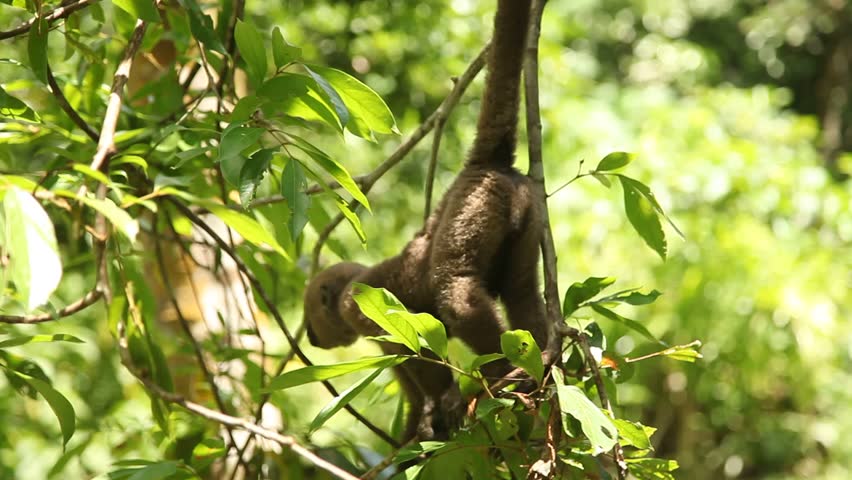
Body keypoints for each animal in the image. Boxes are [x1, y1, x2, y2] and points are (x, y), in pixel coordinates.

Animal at [304, 0, 548, 441]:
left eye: (311, 313)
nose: (312, 336)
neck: (351, 283)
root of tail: (485, 166)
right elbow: (410, 383)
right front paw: (420, 424)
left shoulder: (357, 307)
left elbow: (418, 349)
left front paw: (445, 404)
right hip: (528, 210)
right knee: (521, 291)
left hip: (474, 206)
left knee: (456, 294)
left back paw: (503, 374)